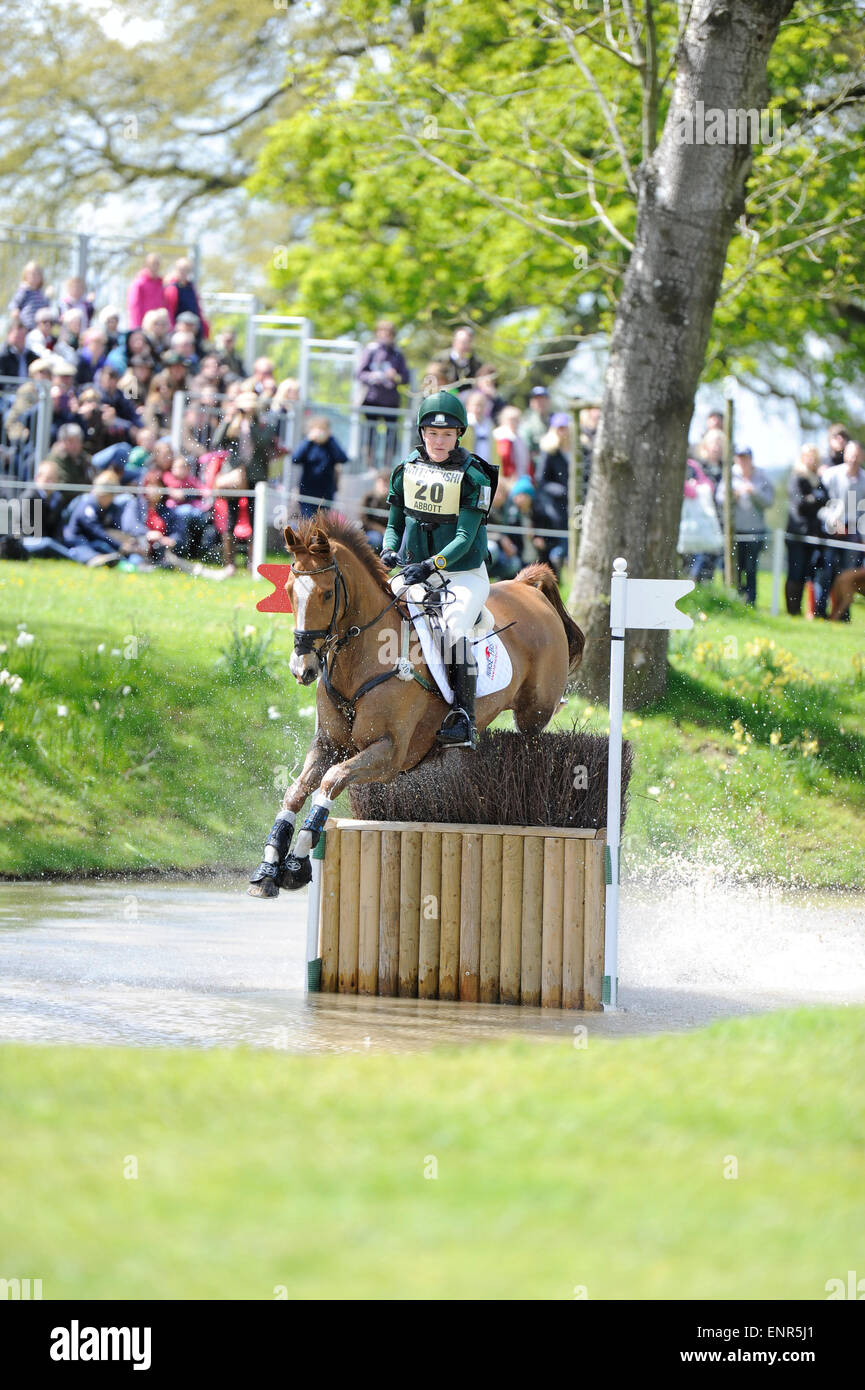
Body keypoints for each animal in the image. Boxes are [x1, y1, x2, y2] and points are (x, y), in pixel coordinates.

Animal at [250, 517, 589, 895]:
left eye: (326, 593)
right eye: (290, 590)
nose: (302, 668)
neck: (361, 657)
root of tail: (526, 586)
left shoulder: (389, 754)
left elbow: (331, 780)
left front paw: (298, 859)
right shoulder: (329, 744)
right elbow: (296, 791)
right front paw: (270, 865)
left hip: (535, 711)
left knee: (537, 728)